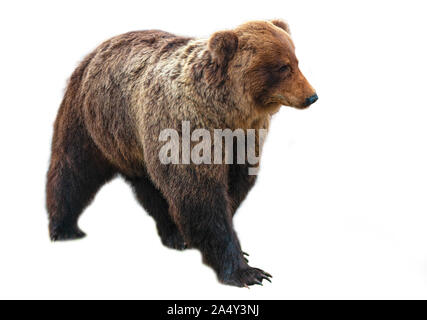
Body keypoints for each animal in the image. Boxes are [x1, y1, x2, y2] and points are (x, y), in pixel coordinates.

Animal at [46, 18, 318, 286]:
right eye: (283, 67)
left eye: (296, 61)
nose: (311, 96)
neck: (225, 112)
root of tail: (98, 48)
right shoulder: (185, 128)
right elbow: (200, 195)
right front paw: (246, 272)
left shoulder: (243, 141)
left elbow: (234, 188)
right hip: (92, 118)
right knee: (73, 168)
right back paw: (65, 228)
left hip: (134, 142)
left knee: (150, 188)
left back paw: (173, 233)